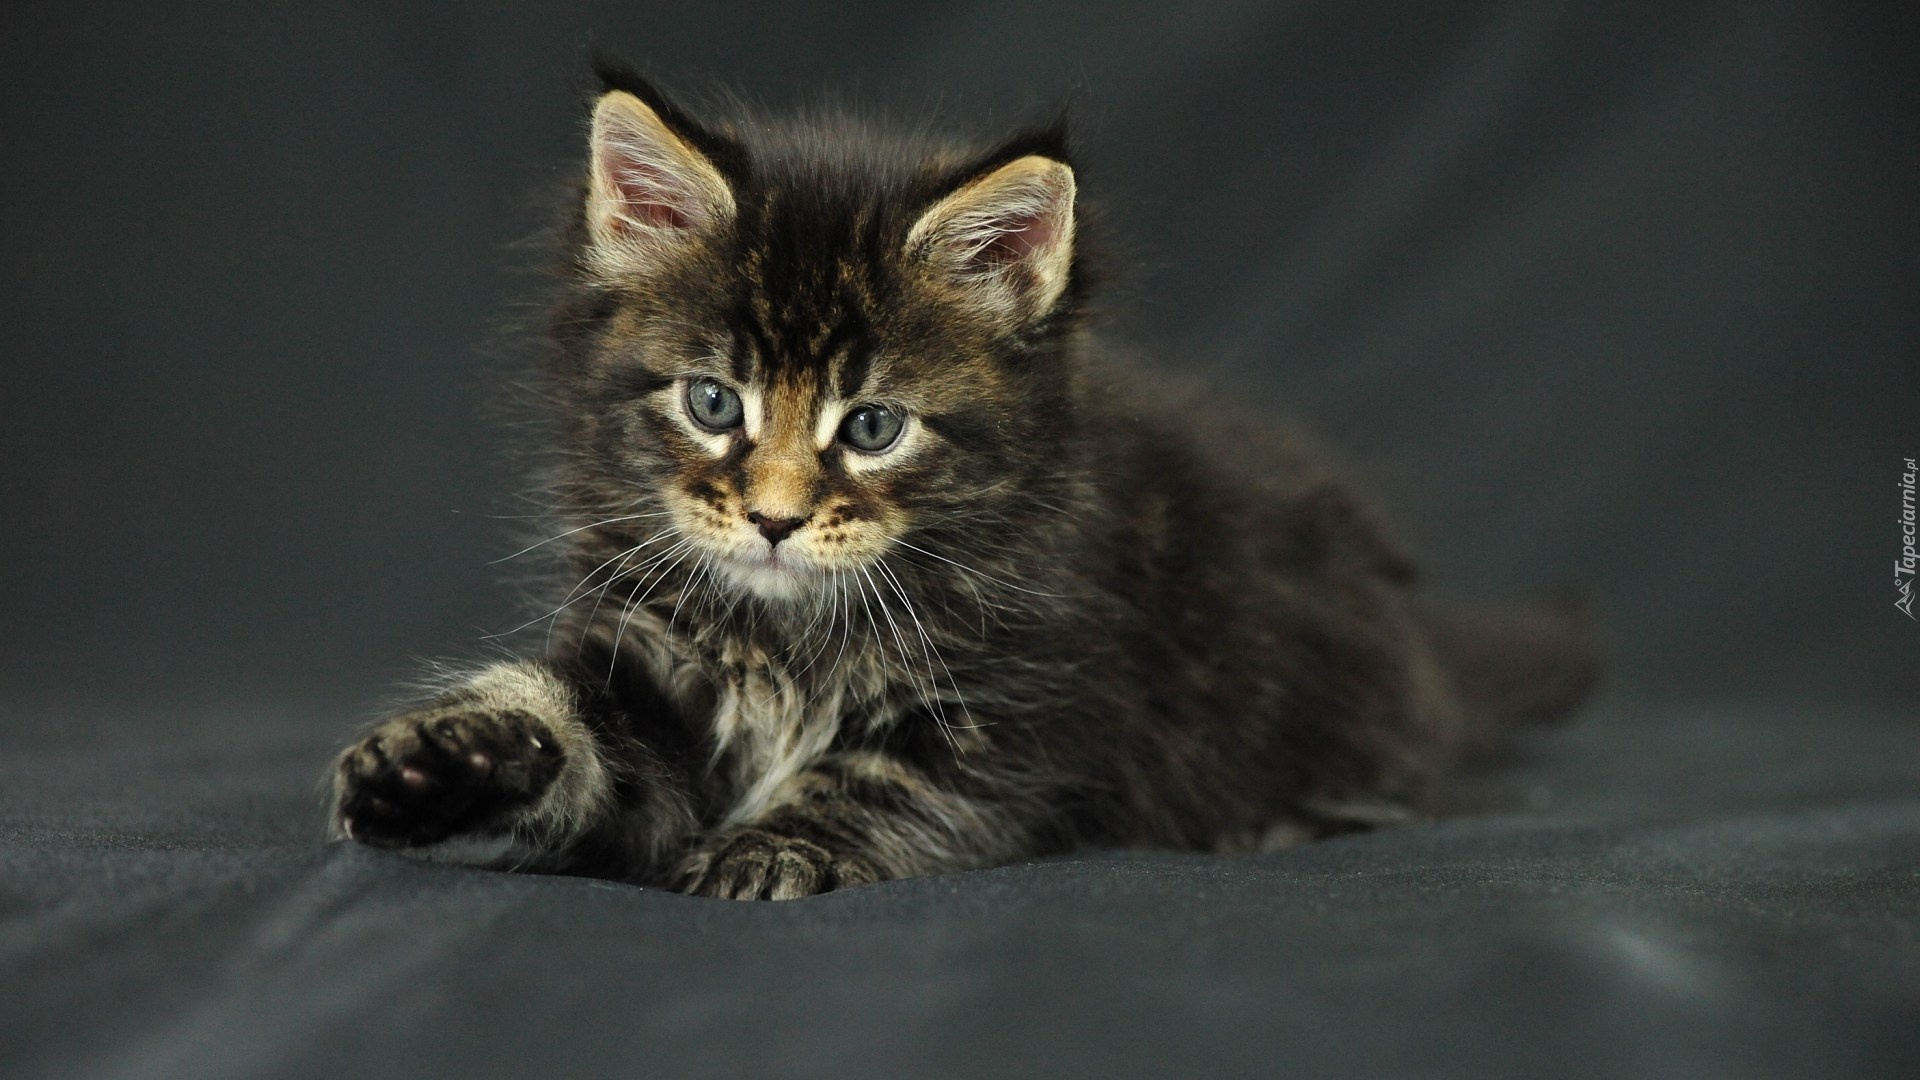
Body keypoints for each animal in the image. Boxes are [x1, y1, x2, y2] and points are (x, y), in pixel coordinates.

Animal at [334, 61, 1605, 899]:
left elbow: (879, 778)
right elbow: (576, 733)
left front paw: (764, 845)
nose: (775, 519)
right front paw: (441, 760)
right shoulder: (651, 658)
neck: (794, 636)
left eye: (873, 426)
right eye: (713, 405)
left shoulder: (1022, 712)